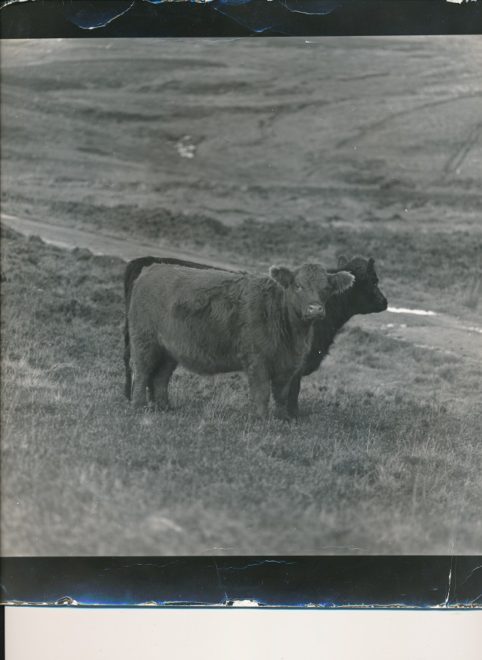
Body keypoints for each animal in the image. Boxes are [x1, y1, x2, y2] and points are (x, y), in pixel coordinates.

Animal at [127, 263, 354, 419]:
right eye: (298, 286)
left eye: (326, 288)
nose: (315, 309)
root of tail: (152, 269)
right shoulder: (257, 359)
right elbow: (262, 391)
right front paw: (261, 418)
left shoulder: (288, 365)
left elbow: (282, 394)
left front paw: (283, 419)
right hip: (144, 341)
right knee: (142, 372)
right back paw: (138, 406)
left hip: (170, 349)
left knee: (160, 377)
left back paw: (164, 407)